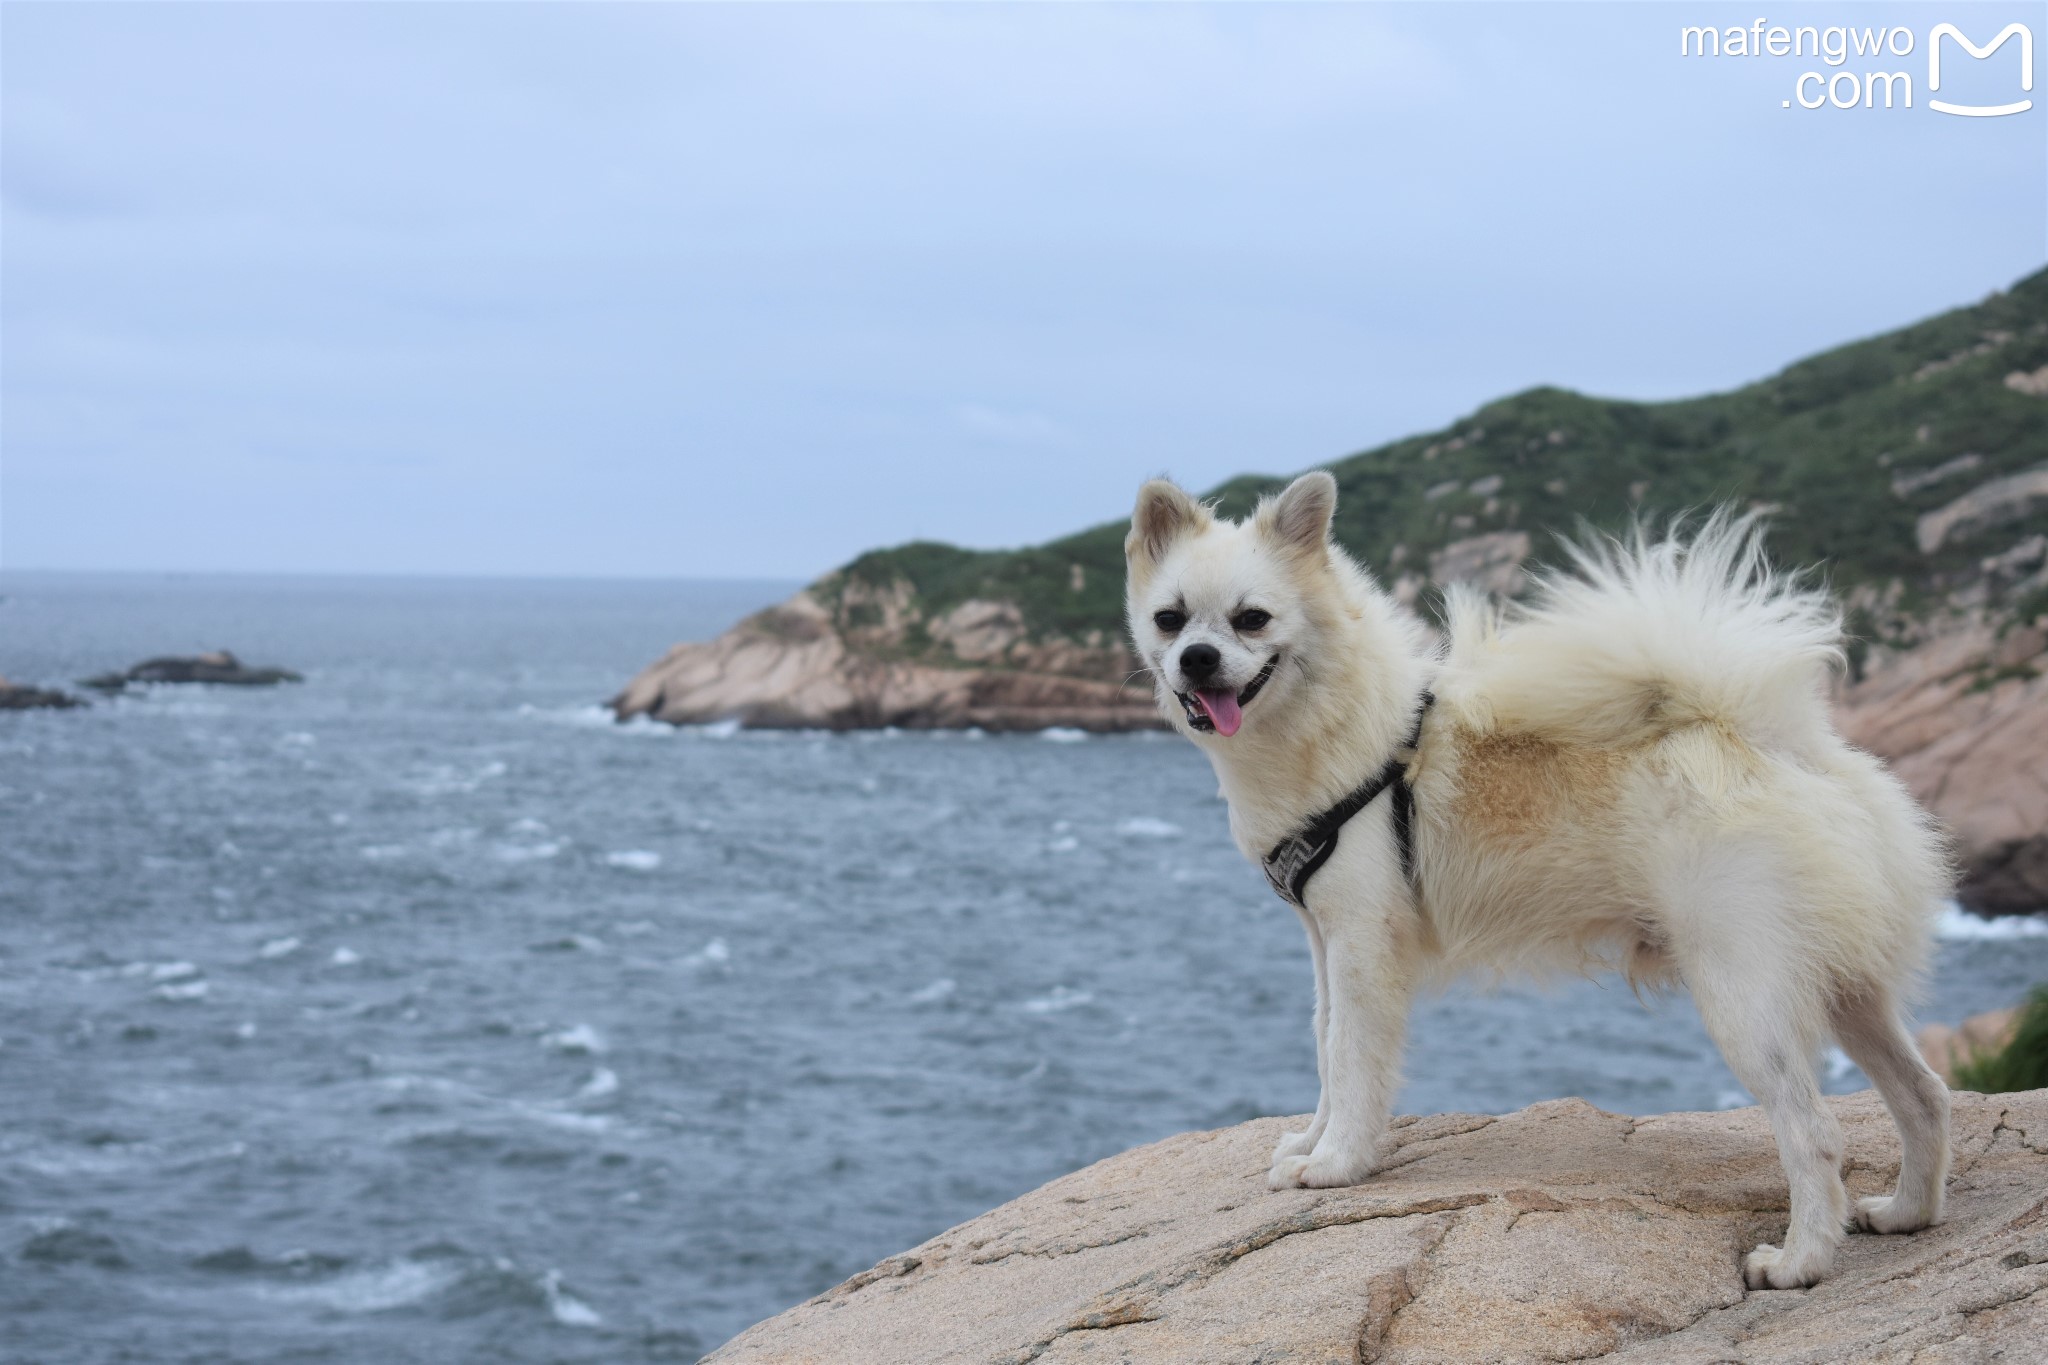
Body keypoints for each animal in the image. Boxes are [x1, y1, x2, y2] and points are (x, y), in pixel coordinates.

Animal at [1138, 472, 1949, 1293]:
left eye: (1252, 619)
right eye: (1169, 619)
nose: (1198, 658)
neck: (1331, 725)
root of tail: (1779, 744)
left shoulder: (1362, 944)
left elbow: (1352, 1059)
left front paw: (1336, 1164)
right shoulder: (1325, 945)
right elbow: (1325, 1047)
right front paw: (1311, 1143)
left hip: (1744, 994)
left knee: (1813, 1131)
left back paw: (1799, 1261)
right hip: (1847, 988)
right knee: (1925, 1094)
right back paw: (1906, 1212)